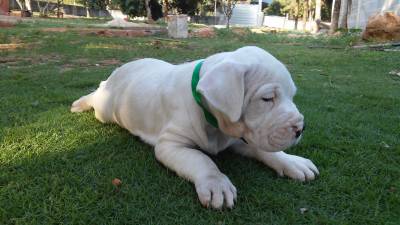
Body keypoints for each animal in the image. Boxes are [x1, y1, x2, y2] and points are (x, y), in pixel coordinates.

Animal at [71, 45, 318, 209]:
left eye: (292, 96)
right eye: (267, 99)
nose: (301, 128)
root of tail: (121, 69)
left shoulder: (239, 137)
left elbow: (266, 150)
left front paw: (292, 162)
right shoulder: (171, 145)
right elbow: (200, 159)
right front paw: (216, 183)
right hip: (106, 109)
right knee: (97, 94)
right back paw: (80, 103)